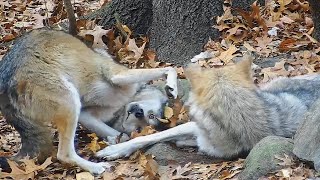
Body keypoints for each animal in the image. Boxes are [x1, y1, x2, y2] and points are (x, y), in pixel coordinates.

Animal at [0, 28, 178, 175]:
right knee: (63, 154)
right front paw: (172, 85)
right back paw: (96, 167)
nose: (138, 112)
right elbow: (170, 68)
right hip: (71, 102)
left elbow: (124, 137)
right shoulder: (119, 75)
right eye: (152, 115)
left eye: (147, 122)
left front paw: (114, 142)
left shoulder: (86, 114)